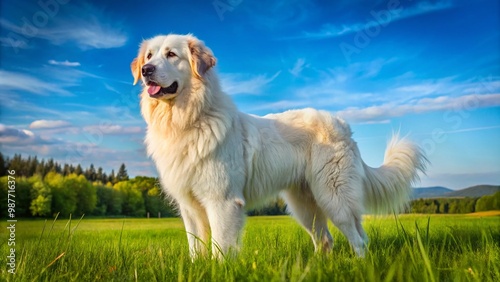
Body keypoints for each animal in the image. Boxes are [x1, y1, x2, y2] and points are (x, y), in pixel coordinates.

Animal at [130, 33, 426, 258]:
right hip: (305, 206)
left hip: (334, 198)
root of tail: (342, 125)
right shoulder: (189, 207)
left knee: (357, 238)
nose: (145, 71)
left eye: (171, 55)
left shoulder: (222, 201)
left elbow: (220, 248)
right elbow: (196, 249)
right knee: (326, 239)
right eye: (149, 56)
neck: (188, 119)